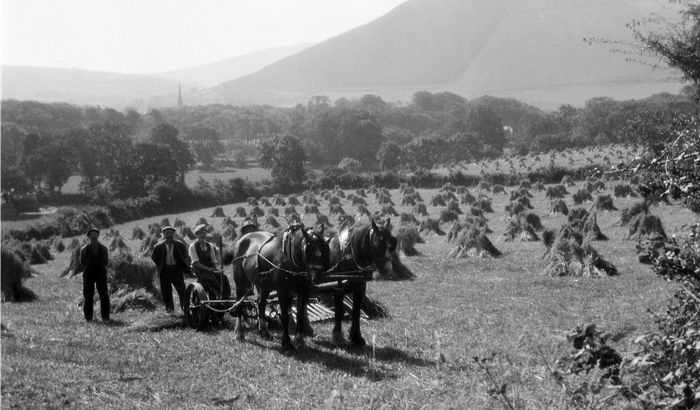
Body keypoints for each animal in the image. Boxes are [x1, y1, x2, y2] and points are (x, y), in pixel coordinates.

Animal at [326, 218, 396, 346]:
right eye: (379, 243)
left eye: (391, 245)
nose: (388, 269)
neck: (349, 255)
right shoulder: (338, 289)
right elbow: (339, 312)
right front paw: (337, 336)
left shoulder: (360, 289)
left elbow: (356, 312)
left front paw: (357, 337)